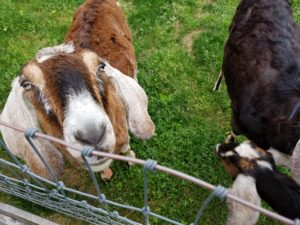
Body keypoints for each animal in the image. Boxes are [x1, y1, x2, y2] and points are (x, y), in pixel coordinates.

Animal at [0, 0, 155, 179]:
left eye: (100, 66)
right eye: (27, 84)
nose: (92, 135)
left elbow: (126, 147)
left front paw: (131, 160)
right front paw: (106, 174)